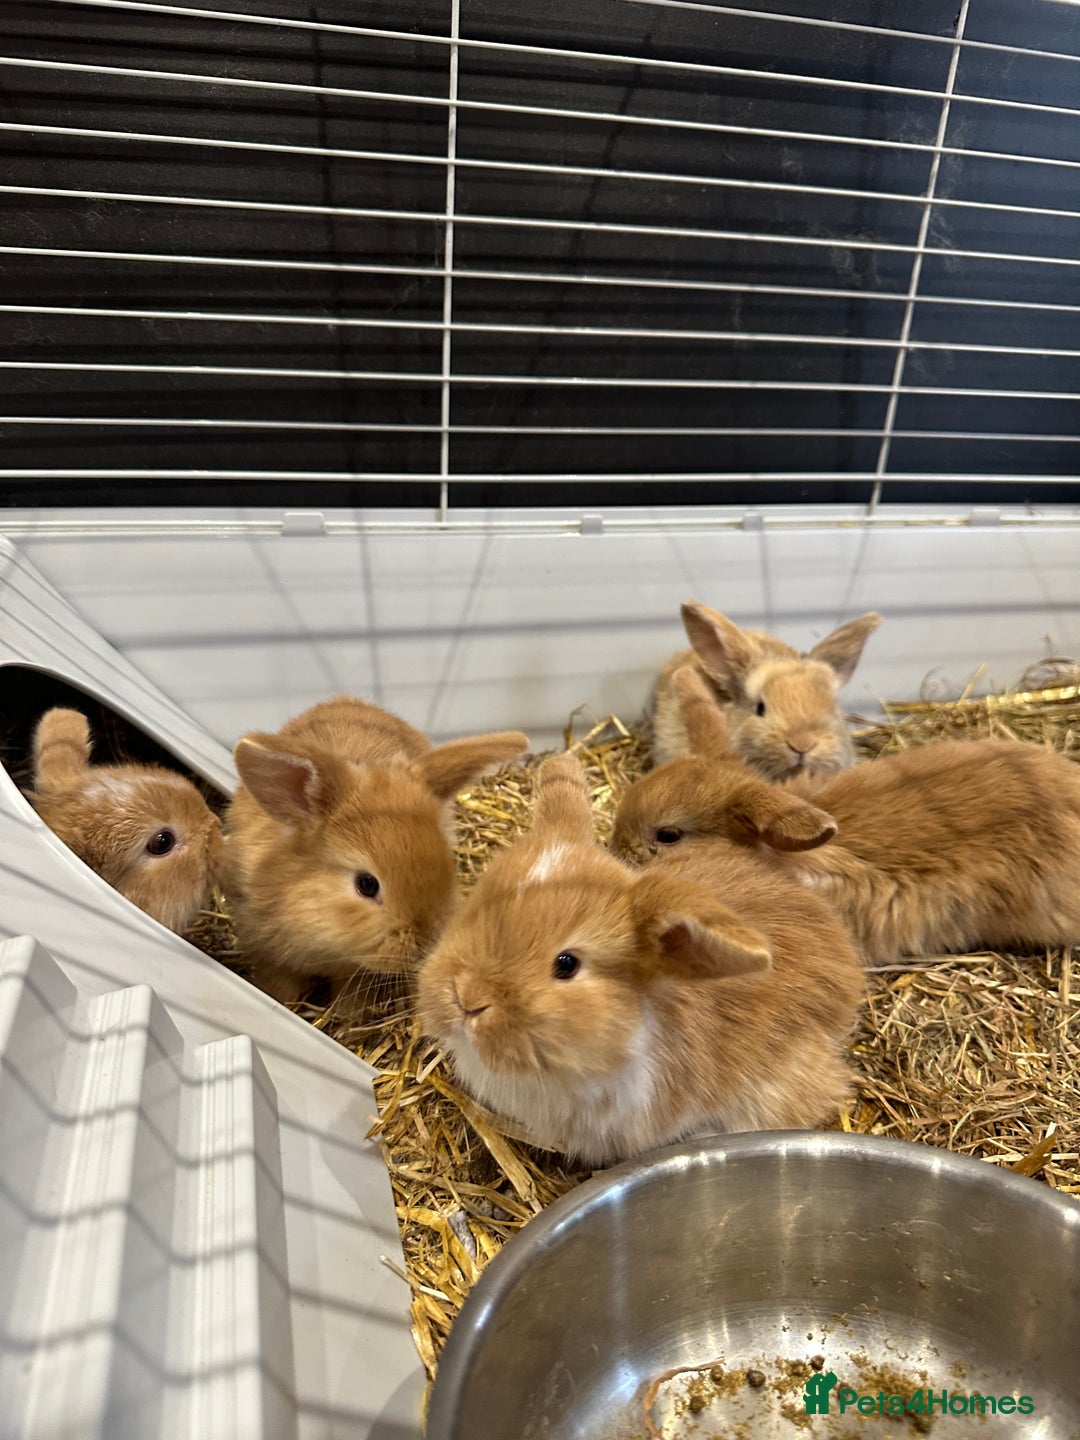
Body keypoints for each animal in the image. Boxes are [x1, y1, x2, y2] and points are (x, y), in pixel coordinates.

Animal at [223, 695, 529, 1006]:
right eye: (367, 885)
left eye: (447, 864)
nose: (423, 943)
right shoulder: (269, 953)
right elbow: (280, 986)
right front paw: (280, 1001)